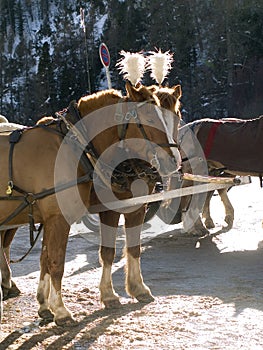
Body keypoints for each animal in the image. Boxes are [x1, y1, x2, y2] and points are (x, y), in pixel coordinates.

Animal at [0, 82, 182, 326]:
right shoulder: (61, 218)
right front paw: (61, 310)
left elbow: (117, 250)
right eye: (150, 118)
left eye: (177, 117)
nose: (174, 161)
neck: (77, 146)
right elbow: (56, 262)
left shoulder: (120, 208)